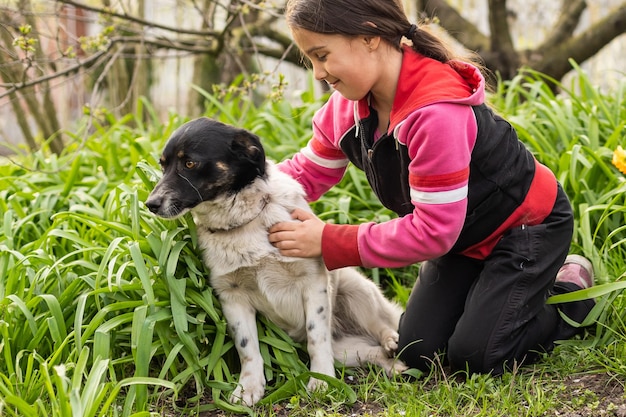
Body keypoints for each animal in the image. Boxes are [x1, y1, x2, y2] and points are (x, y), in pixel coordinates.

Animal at [144, 116, 408, 404]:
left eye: (190, 163)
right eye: (163, 164)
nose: (150, 204)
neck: (243, 223)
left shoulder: (313, 282)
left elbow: (316, 337)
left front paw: (321, 379)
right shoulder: (231, 295)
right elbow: (247, 348)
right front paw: (249, 387)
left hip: (357, 290)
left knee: (381, 323)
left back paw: (391, 340)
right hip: (346, 351)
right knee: (373, 352)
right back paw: (394, 364)